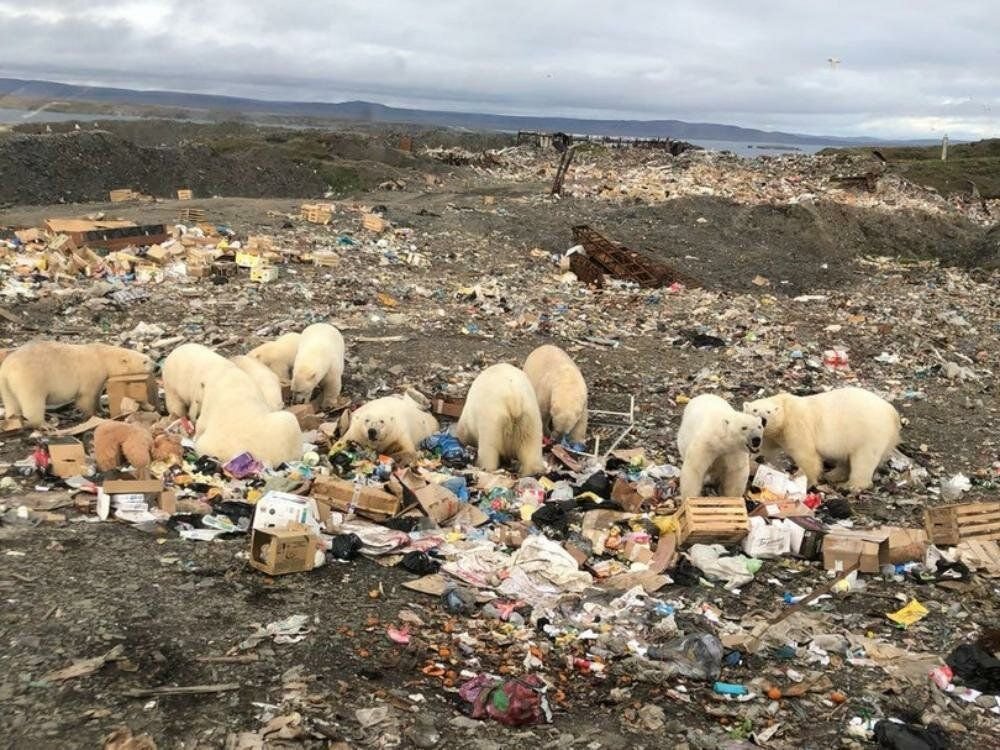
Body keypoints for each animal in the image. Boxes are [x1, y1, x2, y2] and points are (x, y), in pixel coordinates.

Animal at [0, 342, 154, 428]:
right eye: (145, 361)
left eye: (149, 358)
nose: (156, 366)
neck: (102, 355)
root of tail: (7, 368)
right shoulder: (93, 372)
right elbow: (86, 396)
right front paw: (93, 415)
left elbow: (97, 394)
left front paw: (102, 409)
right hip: (30, 379)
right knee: (33, 402)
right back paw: (44, 425)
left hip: (5, 385)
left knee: (11, 402)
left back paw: (14, 419)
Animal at [744, 388, 900, 494]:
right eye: (755, 410)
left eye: (769, 412)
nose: (763, 420)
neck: (785, 408)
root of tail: (893, 413)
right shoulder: (773, 434)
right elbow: (765, 446)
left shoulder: (796, 426)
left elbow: (806, 455)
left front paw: (802, 481)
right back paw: (833, 475)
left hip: (868, 433)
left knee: (863, 460)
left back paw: (851, 485)